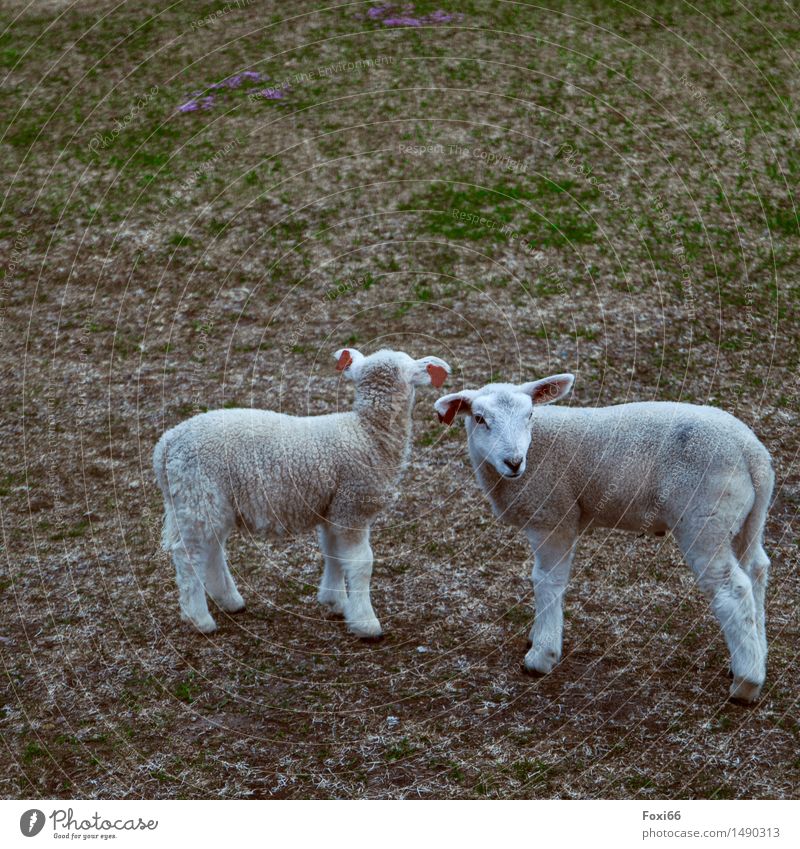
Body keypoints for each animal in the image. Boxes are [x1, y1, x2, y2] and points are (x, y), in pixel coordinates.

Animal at [152, 348, 450, 640]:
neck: (367, 434)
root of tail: (166, 445)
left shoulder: (333, 507)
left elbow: (333, 553)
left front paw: (336, 602)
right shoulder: (352, 505)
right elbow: (361, 563)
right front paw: (366, 623)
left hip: (208, 500)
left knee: (212, 548)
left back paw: (230, 601)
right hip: (198, 493)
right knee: (189, 556)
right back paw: (199, 619)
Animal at [438, 376, 776, 704]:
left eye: (530, 415)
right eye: (479, 419)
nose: (513, 462)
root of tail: (753, 453)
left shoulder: (554, 517)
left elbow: (546, 580)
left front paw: (542, 655)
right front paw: (538, 636)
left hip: (705, 518)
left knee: (733, 588)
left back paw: (746, 683)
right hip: (745, 520)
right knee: (756, 570)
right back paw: (755, 658)